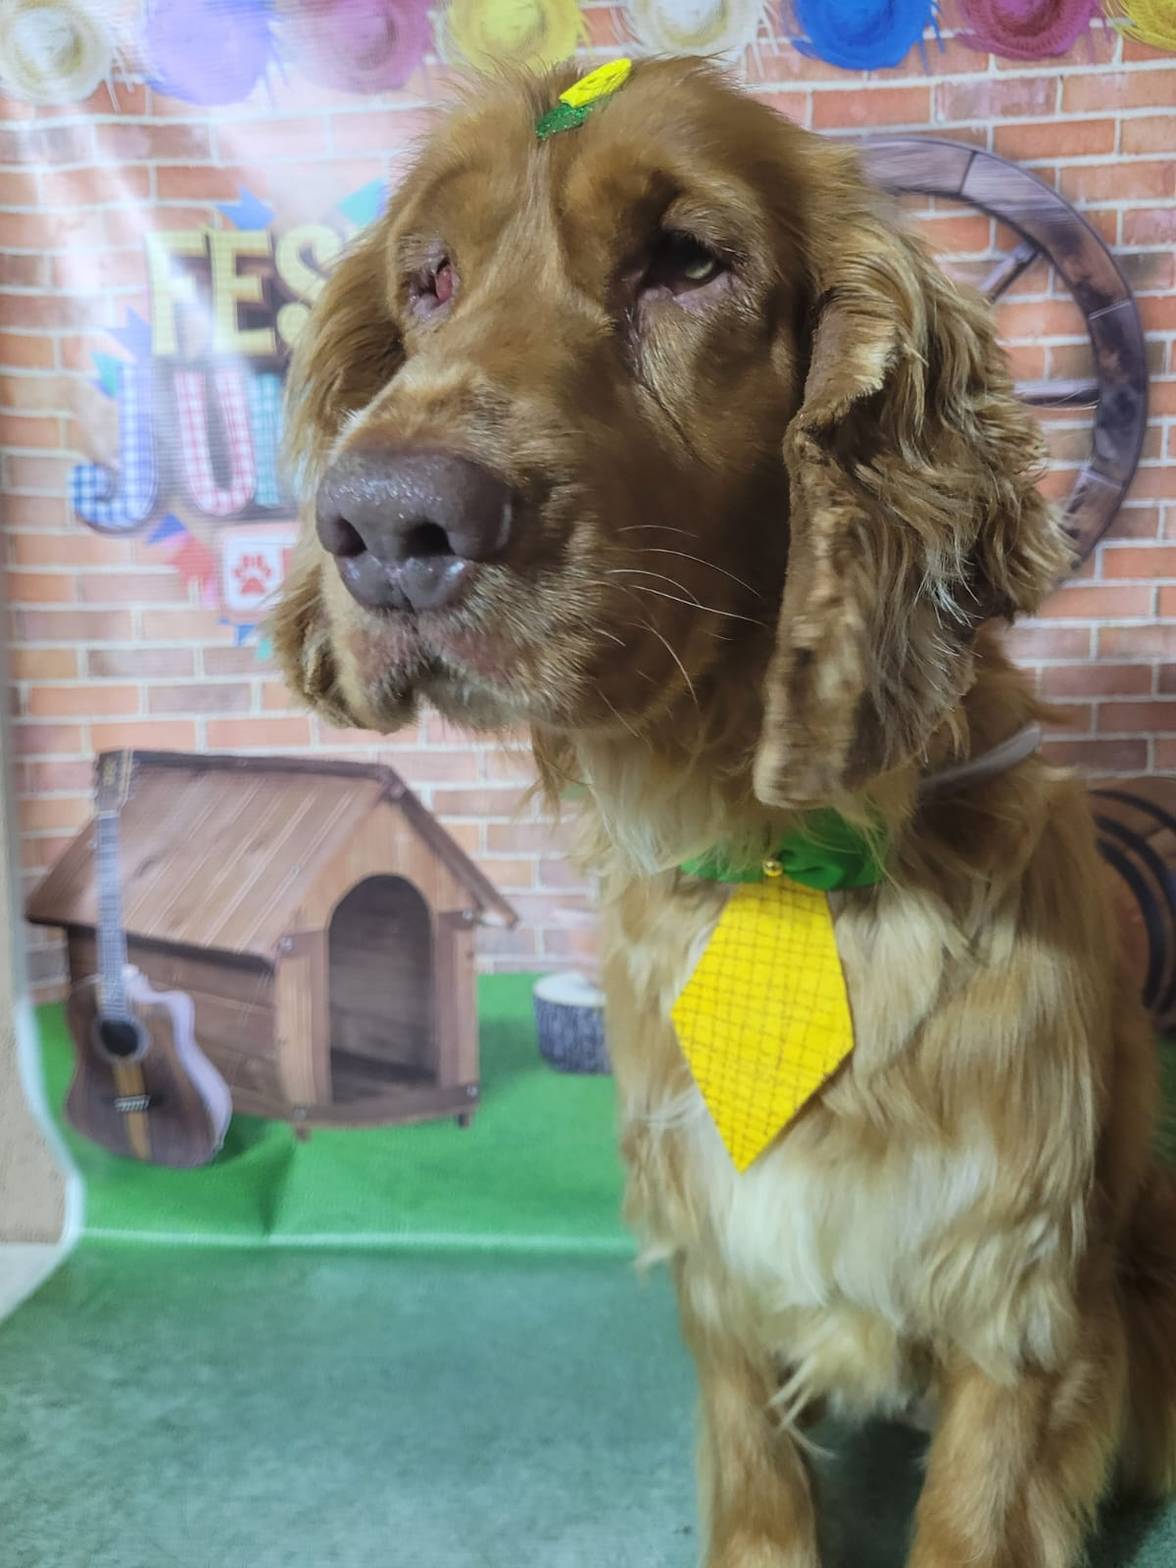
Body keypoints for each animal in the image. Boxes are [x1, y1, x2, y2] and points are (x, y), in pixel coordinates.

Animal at [274, 56, 1176, 1567]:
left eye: (689, 261)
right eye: (429, 278)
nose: (387, 525)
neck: (779, 857)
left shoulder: (1015, 1293)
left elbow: (973, 1514)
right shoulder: (716, 1261)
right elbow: (757, 1484)